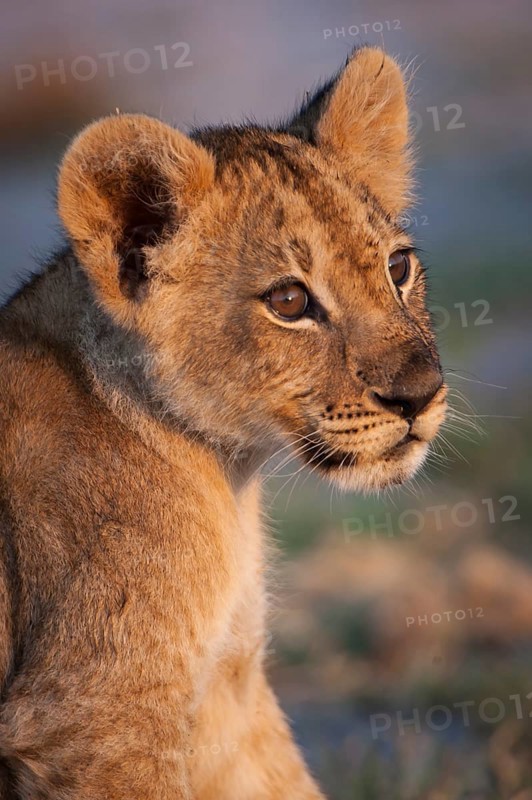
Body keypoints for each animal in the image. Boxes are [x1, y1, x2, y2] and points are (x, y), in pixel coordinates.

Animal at [0, 47, 447, 798]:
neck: (228, 471)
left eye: (398, 266)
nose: (421, 395)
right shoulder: (90, 719)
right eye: (290, 301)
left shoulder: (227, 687)